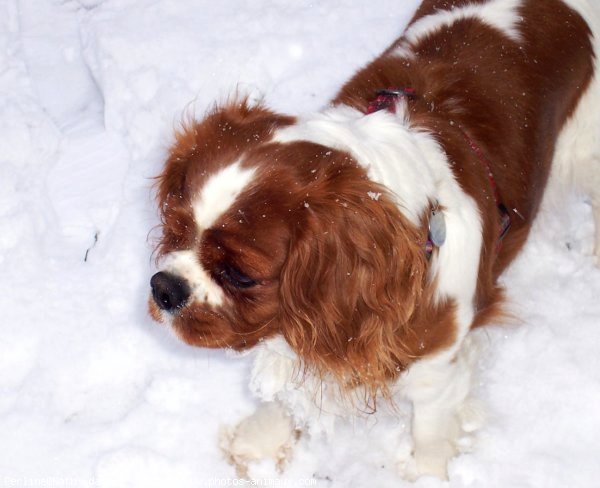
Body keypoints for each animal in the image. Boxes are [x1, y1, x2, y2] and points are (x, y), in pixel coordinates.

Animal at [149, 0, 600, 480]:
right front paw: (259, 442)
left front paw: (429, 477)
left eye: (240, 275)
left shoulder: (437, 369)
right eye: (176, 228)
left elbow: (431, 436)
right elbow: (286, 389)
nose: (163, 288)